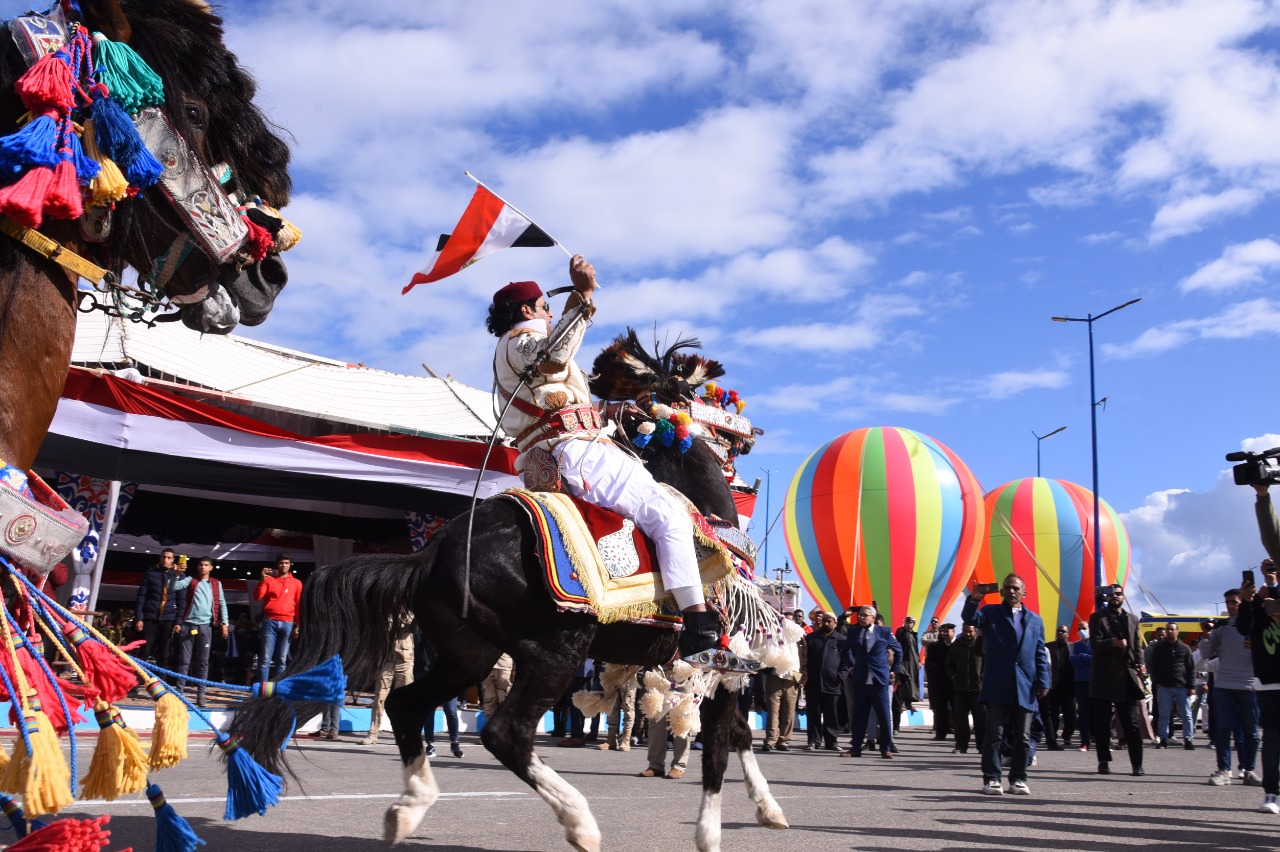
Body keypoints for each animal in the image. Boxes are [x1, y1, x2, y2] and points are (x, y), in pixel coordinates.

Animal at [231, 350, 788, 849]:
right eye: (694, 394)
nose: (746, 431)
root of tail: (431, 551)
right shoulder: (720, 665)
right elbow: (718, 749)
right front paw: (709, 834)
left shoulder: (718, 673)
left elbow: (738, 736)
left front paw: (769, 809)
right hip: (552, 653)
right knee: (505, 733)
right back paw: (579, 821)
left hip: (468, 653)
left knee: (405, 705)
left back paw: (409, 807)